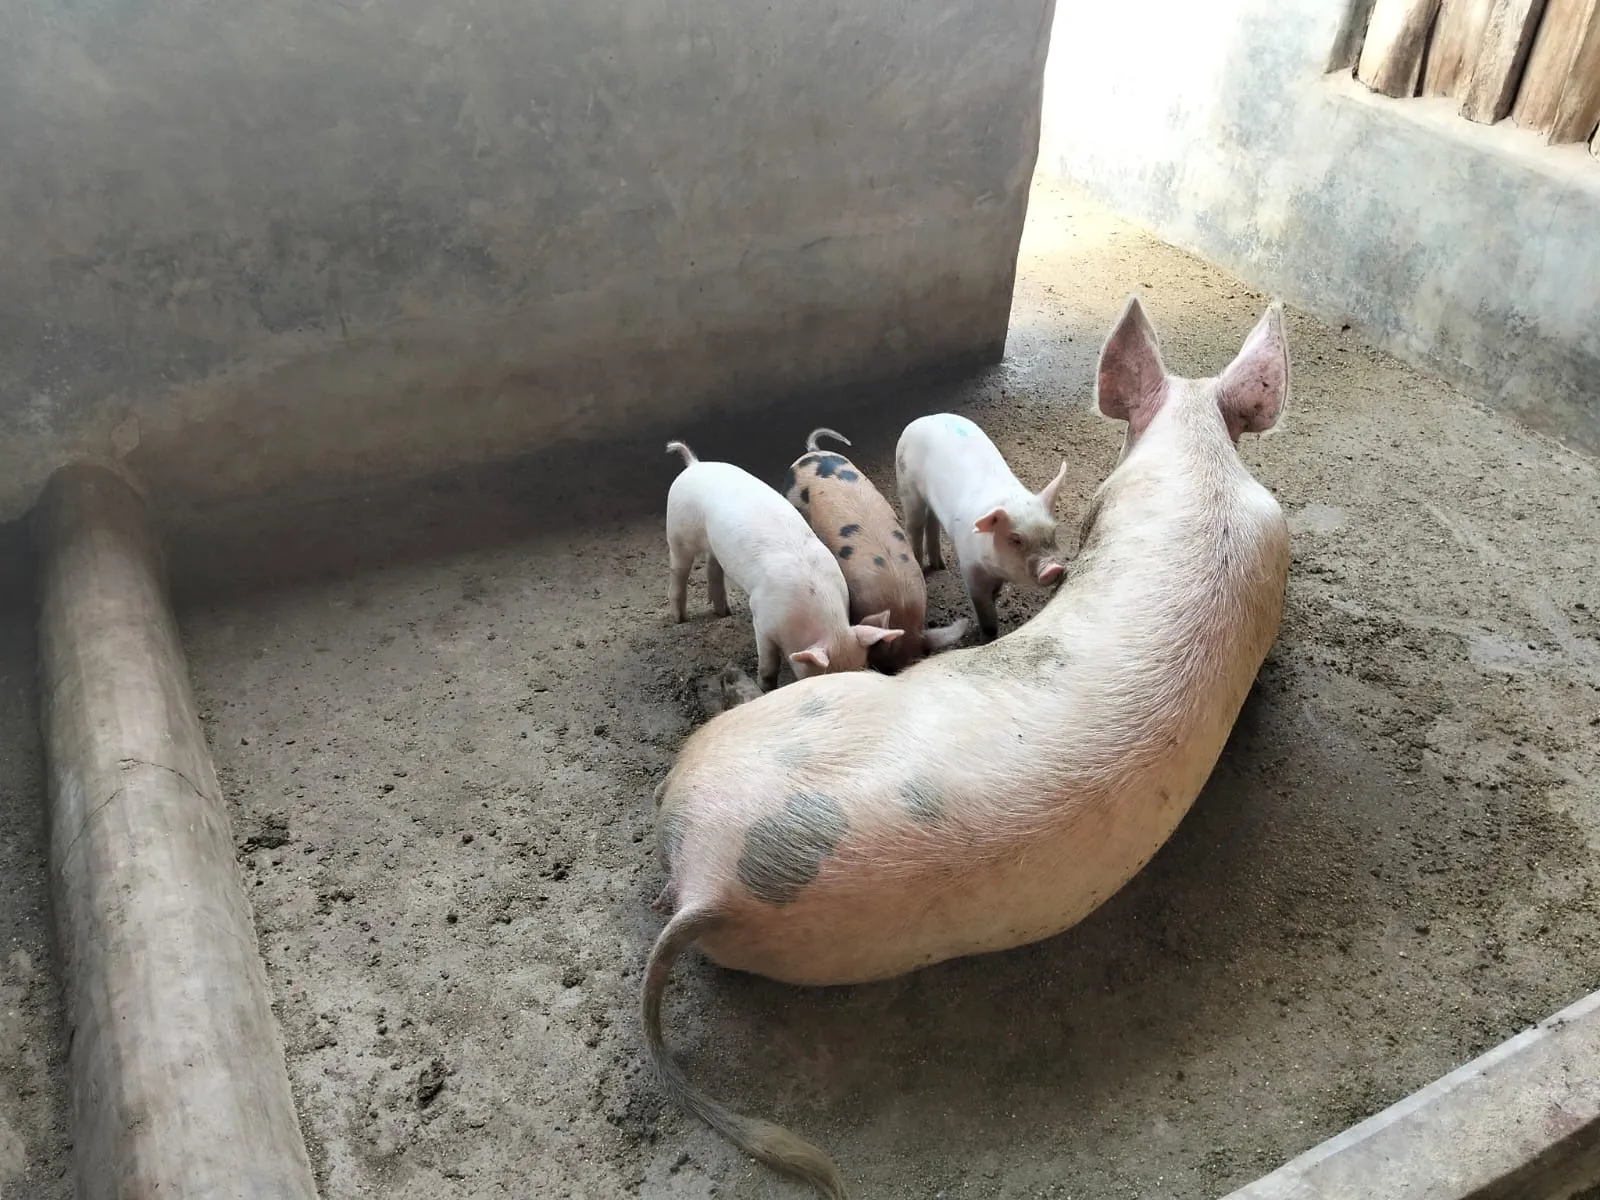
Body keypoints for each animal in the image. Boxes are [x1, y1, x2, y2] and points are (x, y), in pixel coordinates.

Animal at [663, 441, 905, 690]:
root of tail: (693, 464)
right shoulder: (762, 619)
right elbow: (768, 664)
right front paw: (765, 687)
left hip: (713, 544)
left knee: (713, 566)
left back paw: (724, 612)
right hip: (677, 530)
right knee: (679, 570)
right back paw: (679, 618)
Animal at [894, 413, 1070, 641]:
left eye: (1053, 532)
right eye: (1015, 539)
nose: (1053, 568)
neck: (994, 567)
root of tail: (924, 418)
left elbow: (994, 594)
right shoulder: (970, 568)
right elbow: (984, 611)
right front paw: (987, 638)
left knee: (932, 521)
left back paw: (940, 566)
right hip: (907, 485)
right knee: (914, 525)